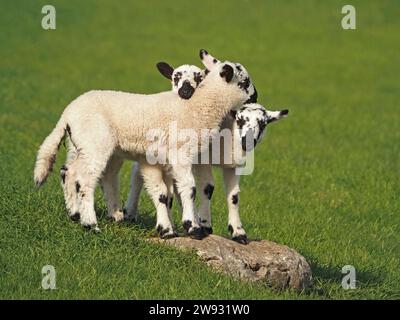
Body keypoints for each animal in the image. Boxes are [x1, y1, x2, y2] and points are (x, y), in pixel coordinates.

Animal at [35, 49, 256, 240]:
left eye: (198, 77)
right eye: (244, 82)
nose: (256, 96)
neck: (197, 107)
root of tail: (67, 113)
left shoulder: (159, 160)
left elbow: (167, 193)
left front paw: (171, 228)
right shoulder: (180, 153)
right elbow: (189, 187)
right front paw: (192, 228)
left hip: (86, 146)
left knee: (72, 173)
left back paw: (77, 214)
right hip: (95, 143)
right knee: (85, 180)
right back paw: (90, 224)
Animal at [125, 51, 288, 244]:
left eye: (263, 124)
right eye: (240, 120)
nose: (247, 142)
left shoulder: (233, 166)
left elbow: (234, 196)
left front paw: (238, 232)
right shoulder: (201, 160)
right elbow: (207, 188)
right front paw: (204, 224)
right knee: (140, 175)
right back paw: (132, 214)